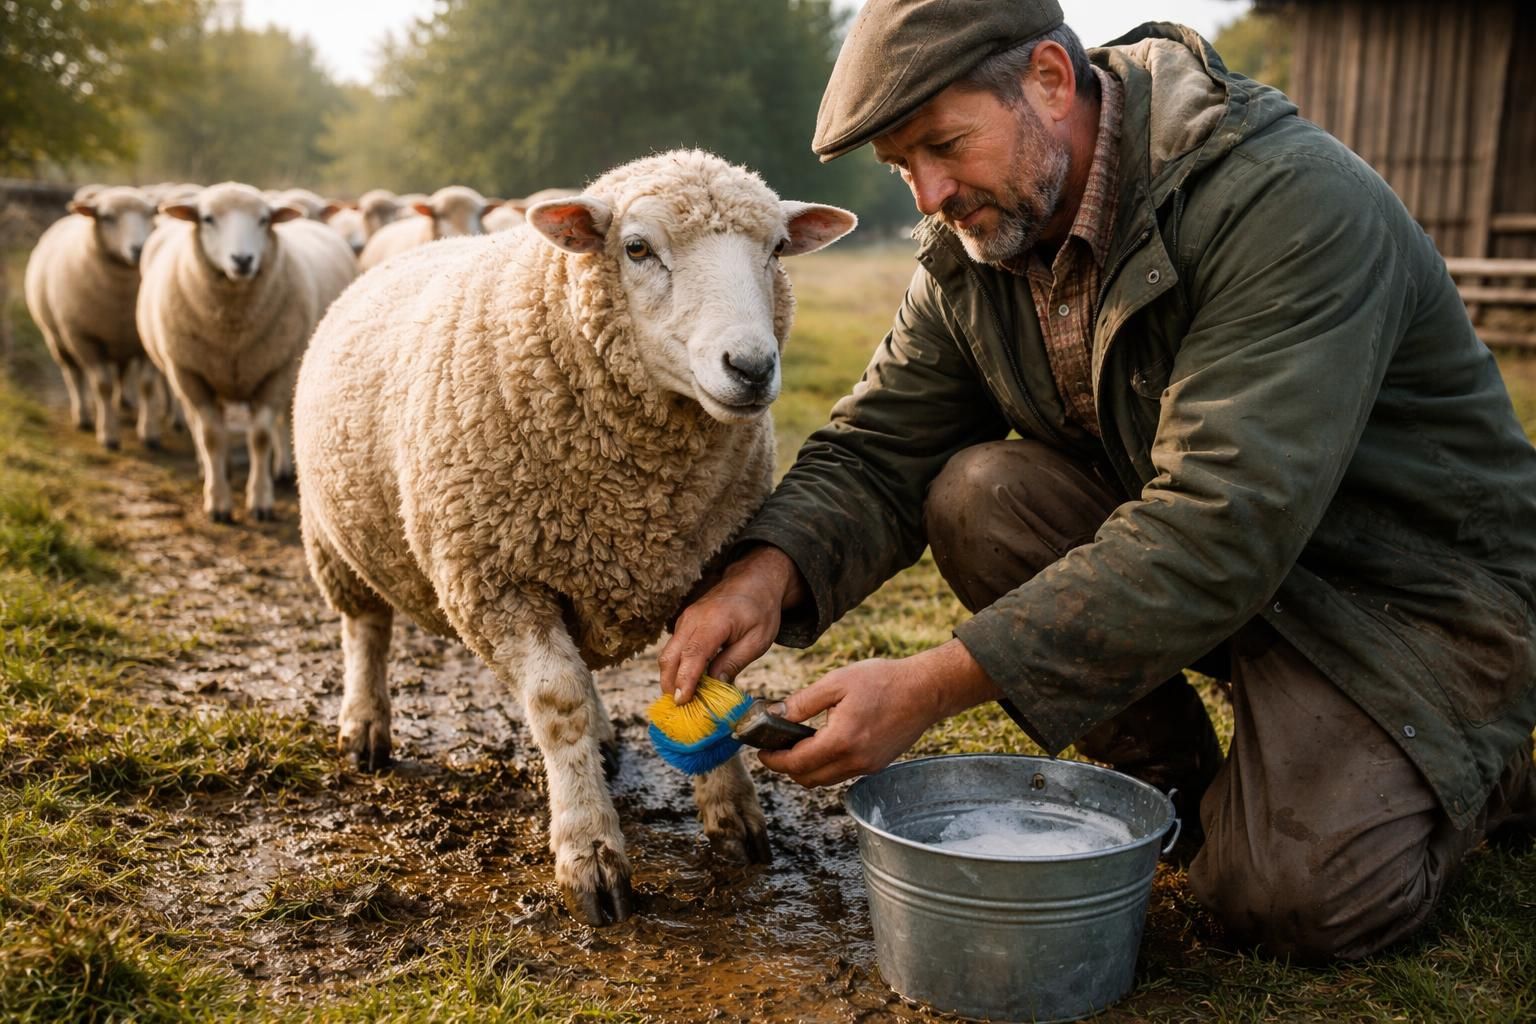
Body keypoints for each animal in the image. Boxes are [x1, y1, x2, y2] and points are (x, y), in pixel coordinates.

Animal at [24, 186, 166, 450]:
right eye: (108, 217)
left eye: (150, 214)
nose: (139, 249)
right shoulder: (84, 338)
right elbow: (102, 386)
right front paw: (108, 436)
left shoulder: (144, 340)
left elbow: (147, 385)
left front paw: (149, 434)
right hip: (57, 339)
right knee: (74, 375)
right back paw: (83, 417)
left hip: (122, 340)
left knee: (121, 371)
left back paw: (124, 402)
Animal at [137, 182, 357, 523]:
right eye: (208, 218)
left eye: (264, 220)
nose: (242, 260)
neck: (233, 330)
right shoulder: (189, 373)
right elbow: (211, 435)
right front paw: (218, 502)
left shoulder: (277, 370)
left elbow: (261, 436)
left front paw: (261, 500)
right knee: (197, 426)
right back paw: (211, 468)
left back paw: (281, 469)